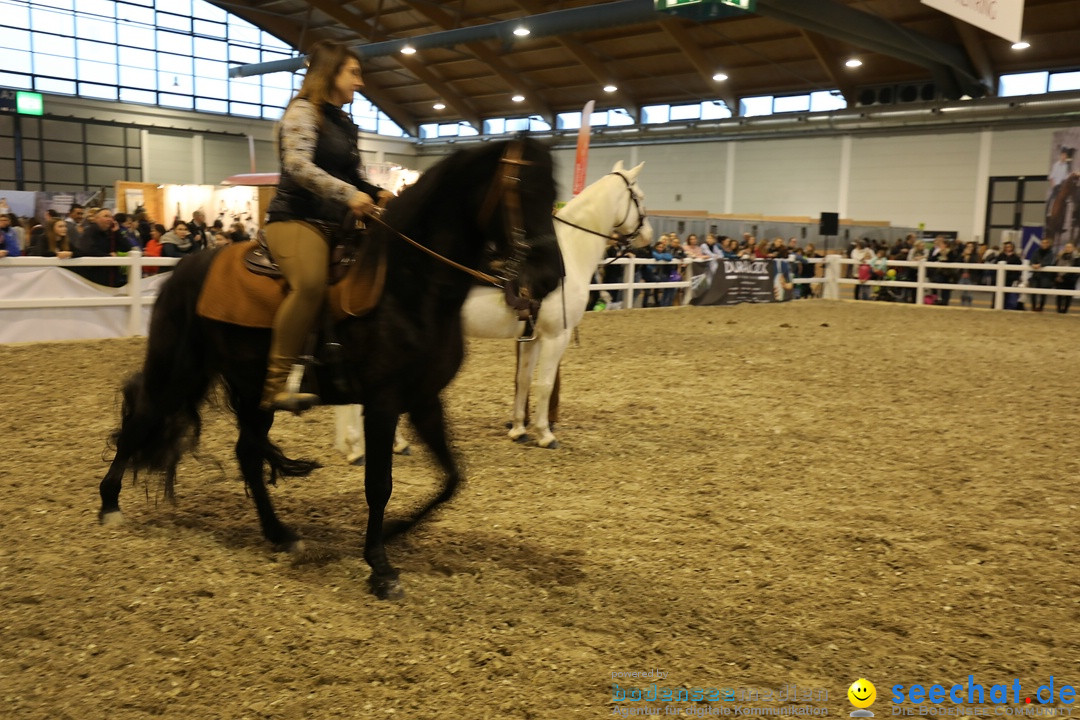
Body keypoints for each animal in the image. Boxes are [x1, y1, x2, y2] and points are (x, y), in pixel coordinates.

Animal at [99, 138, 565, 600]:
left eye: (553, 194)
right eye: (522, 189)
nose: (549, 278)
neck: (406, 285)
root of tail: (186, 269)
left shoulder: (424, 400)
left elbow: (452, 478)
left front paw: (394, 532)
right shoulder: (383, 404)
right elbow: (379, 484)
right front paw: (380, 567)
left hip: (251, 388)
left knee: (246, 453)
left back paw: (280, 533)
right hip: (180, 372)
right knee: (141, 421)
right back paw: (109, 505)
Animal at [336, 160, 652, 459]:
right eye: (639, 196)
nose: (647, 236)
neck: (567, 253)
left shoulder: (532, 337)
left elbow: (523, 380)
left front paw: (519, 429)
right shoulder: (556, 337)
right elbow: (545, 384)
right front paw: (545, 434)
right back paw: (368, 447)